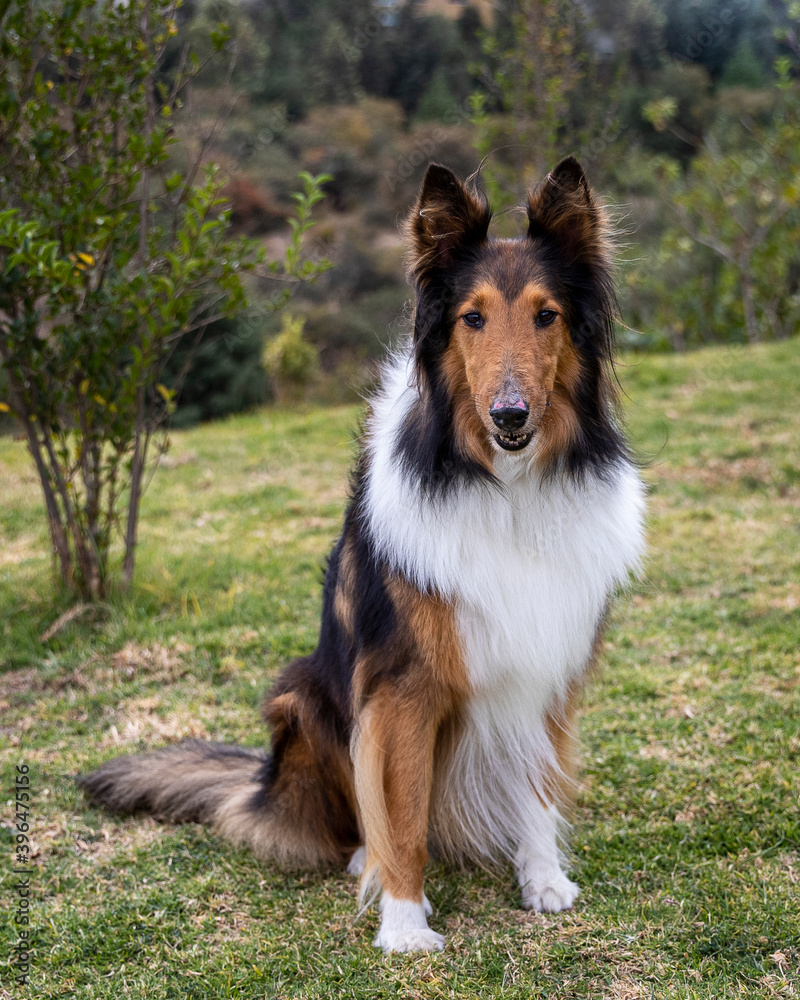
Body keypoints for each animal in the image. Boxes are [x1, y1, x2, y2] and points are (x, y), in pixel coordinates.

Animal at [79, 156, 644, 952]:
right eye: (472, 318)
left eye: (547, 315)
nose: (510, 416)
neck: (501, 486)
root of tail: (261, 783)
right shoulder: (401, 687)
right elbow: (399, 814)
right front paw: (405, 926)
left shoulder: (546, 665)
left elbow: (535, 789)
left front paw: (542, 882)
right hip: (302, 698)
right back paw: (358, 860)